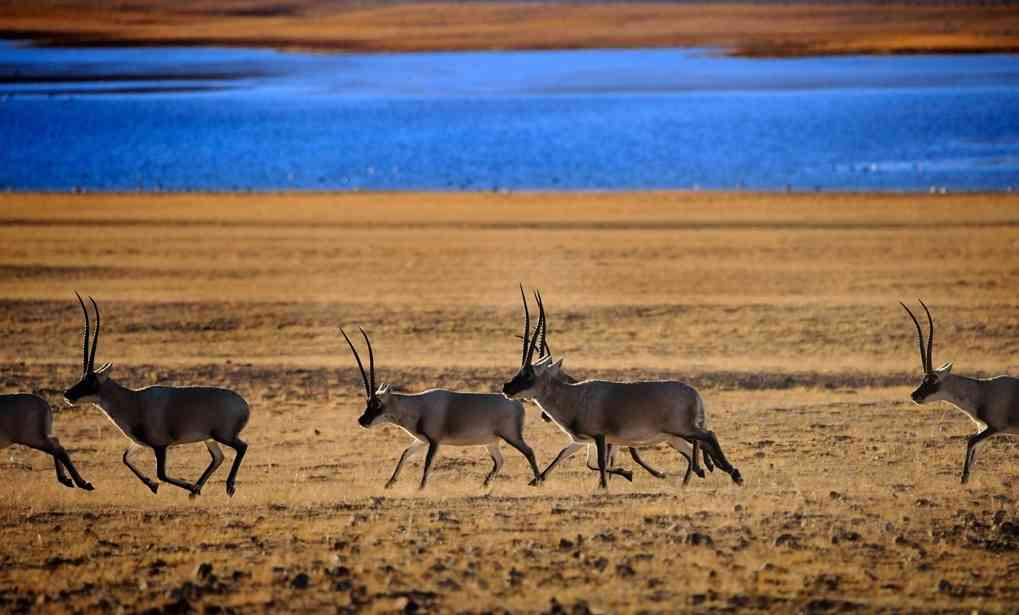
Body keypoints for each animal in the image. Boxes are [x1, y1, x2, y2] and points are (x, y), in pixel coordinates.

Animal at [64, 291, 250, 496]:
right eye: (82, 377)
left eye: (91, 381)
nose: (67, 394)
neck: (132, 400)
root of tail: (244, 405)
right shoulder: (140, 443)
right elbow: (125, 458)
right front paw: (153, 486)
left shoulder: (160, 446)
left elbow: (161, 474)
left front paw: (180, 485)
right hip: (209, 439)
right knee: (218, 457)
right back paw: (196, 490)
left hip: (223, 436)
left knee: (242, 447)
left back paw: (224, 486)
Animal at [342, 325, 546, 490]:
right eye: (367, 402)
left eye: (377, 404)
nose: (362, 421)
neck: (417, 405)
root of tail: (517, 402)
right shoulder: (421, 440)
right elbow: (404, 454)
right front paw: (389, 484)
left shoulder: (434, 441)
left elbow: (428, 462)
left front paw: (421, 488)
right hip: (491, 442)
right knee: (499, 461)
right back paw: (484, 485)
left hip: (511, 436)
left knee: (529, 451)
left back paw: (538, 481)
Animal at [501, 289, 741, 490]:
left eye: (528, 374)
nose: (506, 388)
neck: (574, 396)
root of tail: (694, 393)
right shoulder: (595, 440)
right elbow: (581, 459)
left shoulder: (599, 437)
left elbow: (600, 462)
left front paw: (604, 486)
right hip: (677, 433)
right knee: (700, 444)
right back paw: (700, 475)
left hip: (683, 429)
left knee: (708, 436)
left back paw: (733, 474)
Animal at [900, 299, 1019, 482]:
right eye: (923, 379)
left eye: (933, 379)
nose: (914, 395)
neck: (981, 391)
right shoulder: (983, 428)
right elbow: (974, 453)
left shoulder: (994, 428)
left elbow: (970, 442)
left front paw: (962, 480)